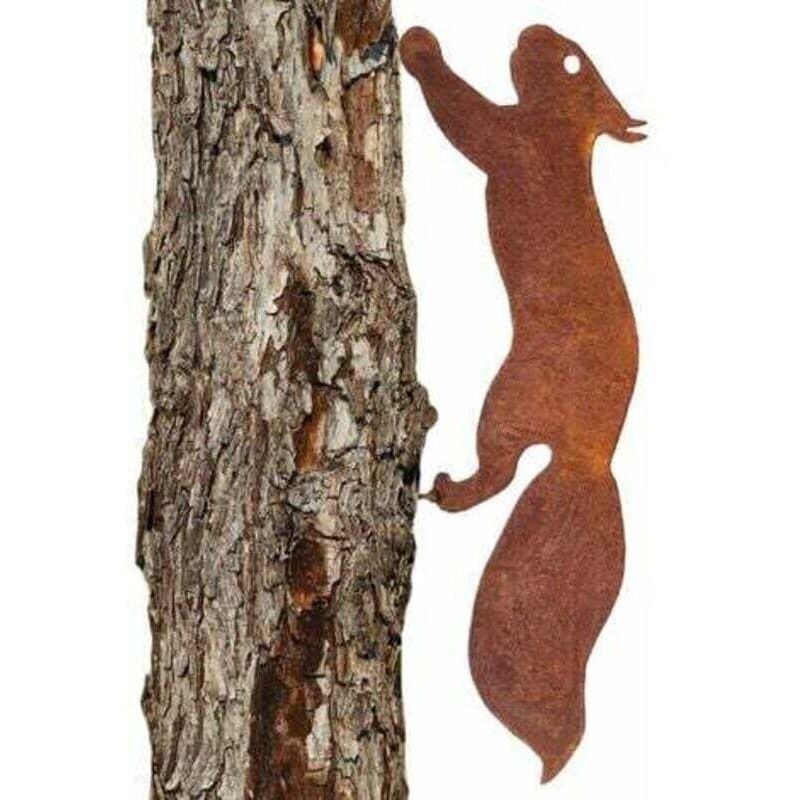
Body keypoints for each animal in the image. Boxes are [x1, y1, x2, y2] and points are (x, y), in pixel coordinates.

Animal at [400, 25, 644, 782]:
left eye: (569, 61)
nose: (531, 30)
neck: (566, 135)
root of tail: (590, 458)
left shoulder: (513, 142)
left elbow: (465, 116)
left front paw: (419, 48)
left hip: (506, 402)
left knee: (498, 473)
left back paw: (446, 490)